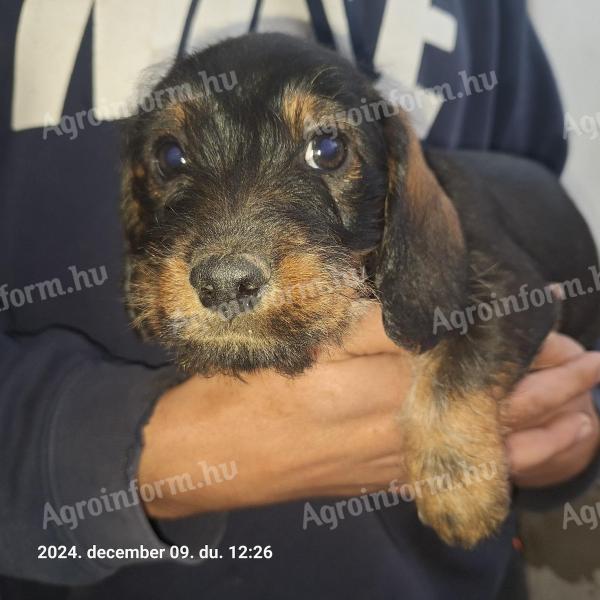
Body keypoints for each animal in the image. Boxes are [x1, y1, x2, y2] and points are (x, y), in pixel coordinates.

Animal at [120, 32, 600, 548]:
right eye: (171, 156)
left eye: (328, 148)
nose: (225, 283)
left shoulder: (519, 292)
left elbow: (457, 366)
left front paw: (458, 485)